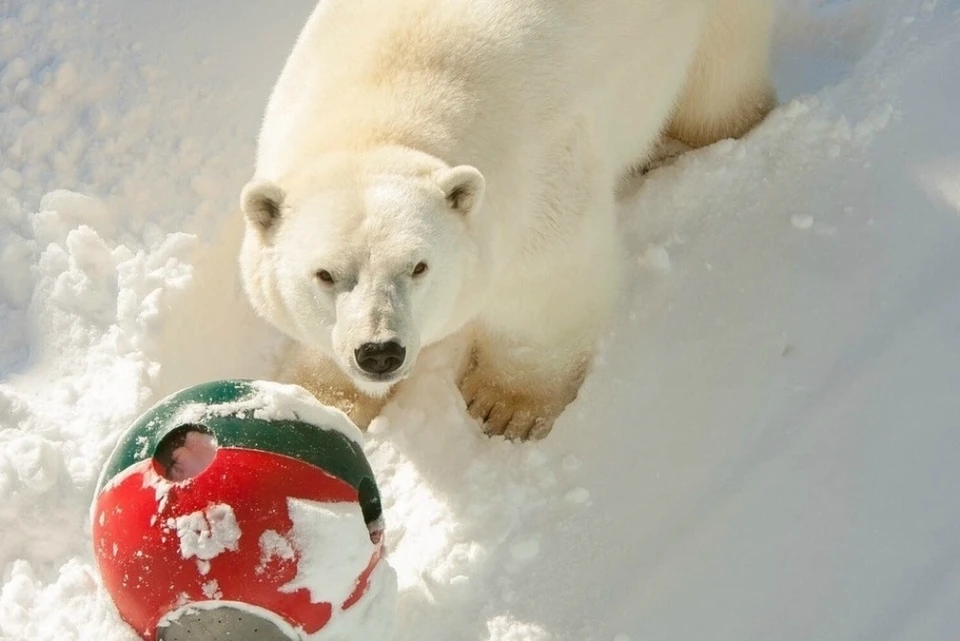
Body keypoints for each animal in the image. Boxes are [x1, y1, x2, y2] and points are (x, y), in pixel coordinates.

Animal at [236, 0, 776, 440]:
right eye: (325, 274)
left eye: (419, 266)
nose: (379, 352)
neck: (380, 110)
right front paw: (317, 400)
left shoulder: (534, 171)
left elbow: (545, 285)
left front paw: (505, 406)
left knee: (718, 78)